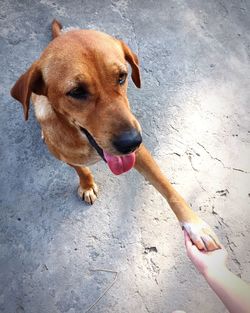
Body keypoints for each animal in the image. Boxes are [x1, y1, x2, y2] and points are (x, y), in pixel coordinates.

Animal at [10, 19, 220, 250]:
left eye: (122, 77)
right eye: (76, 92)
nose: (132, 142)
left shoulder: (140, 154)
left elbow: (166, 187)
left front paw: (194, 225)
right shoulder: (65, 156)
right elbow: (81, 170)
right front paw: (87, 185)